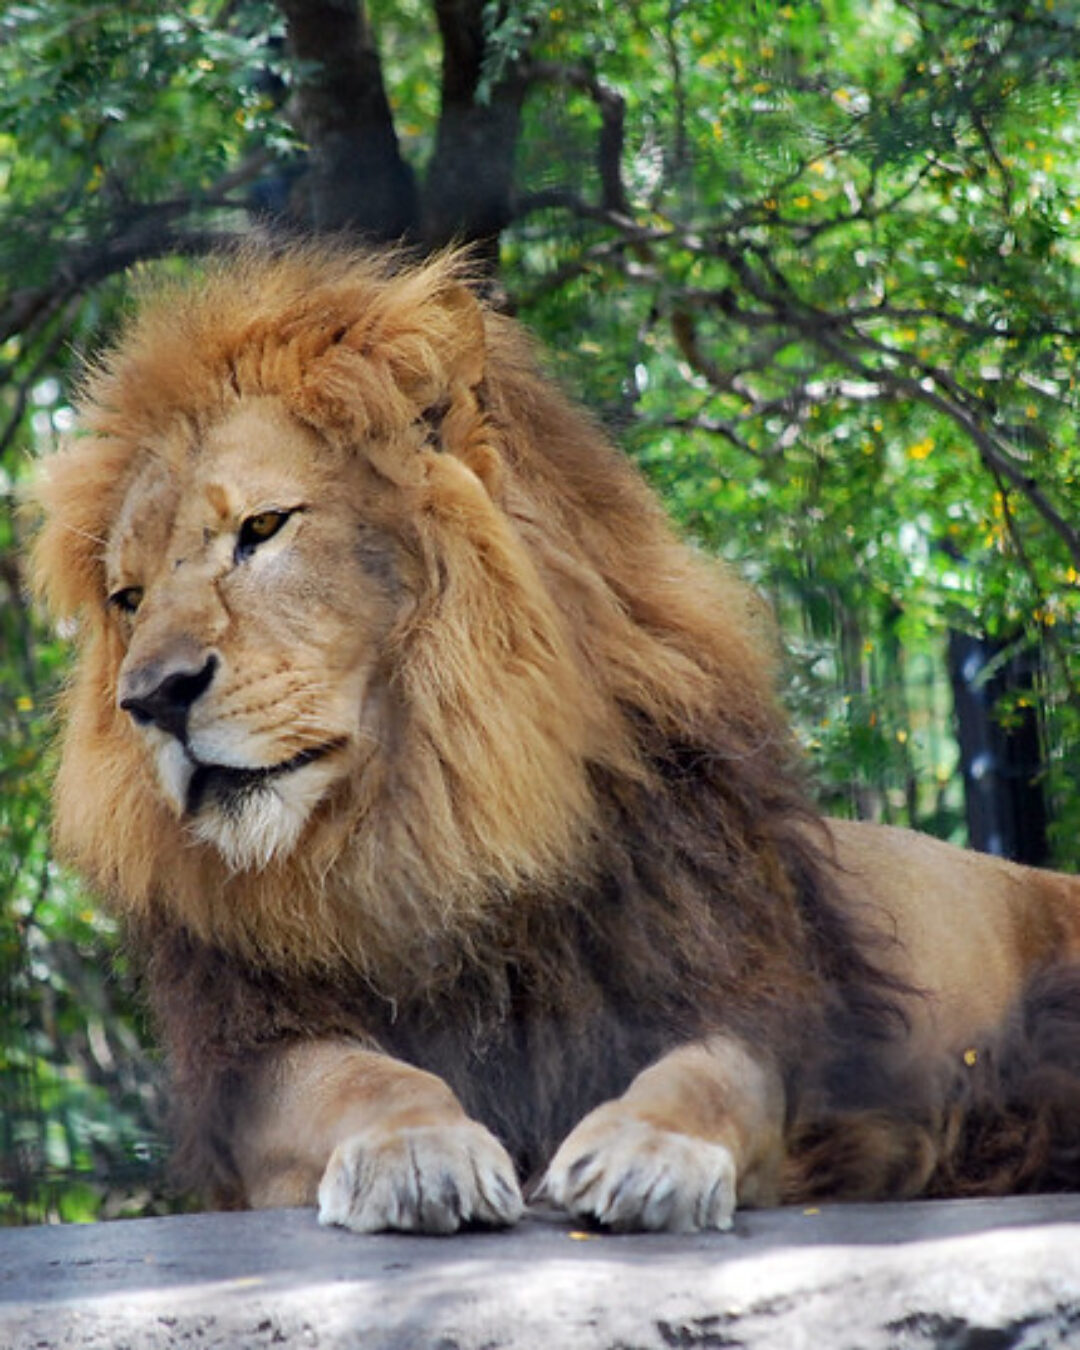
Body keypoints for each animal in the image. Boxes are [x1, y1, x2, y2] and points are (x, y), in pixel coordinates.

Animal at [30, 242, 1080, 1234]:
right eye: (127, 598)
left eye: (262, 527)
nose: (152, 700)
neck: (427, 823)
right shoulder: (254, 1059)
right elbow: (365, 1079)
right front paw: (420, 1152)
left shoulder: (739, 990)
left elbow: (711, 1075)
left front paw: (650, 1151)